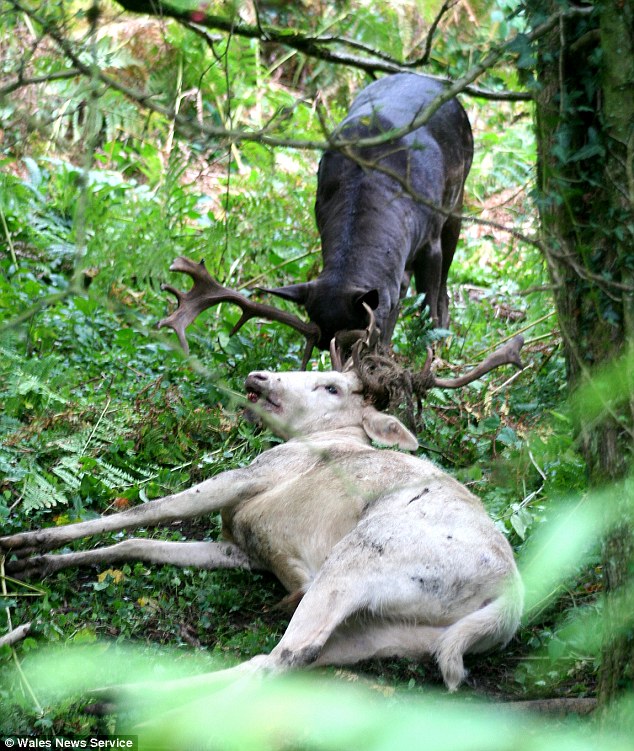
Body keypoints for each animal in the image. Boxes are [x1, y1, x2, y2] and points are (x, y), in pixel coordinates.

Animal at [1, 346, 524, 688]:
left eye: (331, 386)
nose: (259, 376)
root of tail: (507, 605)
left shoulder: (246, 478)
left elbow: (149, 511)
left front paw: (22, 543)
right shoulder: (244, 548)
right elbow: (139, 544)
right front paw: (36, 564)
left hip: (359, 558)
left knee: (291, 653)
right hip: (400, 632)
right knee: (288, 660)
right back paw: (115, 697)